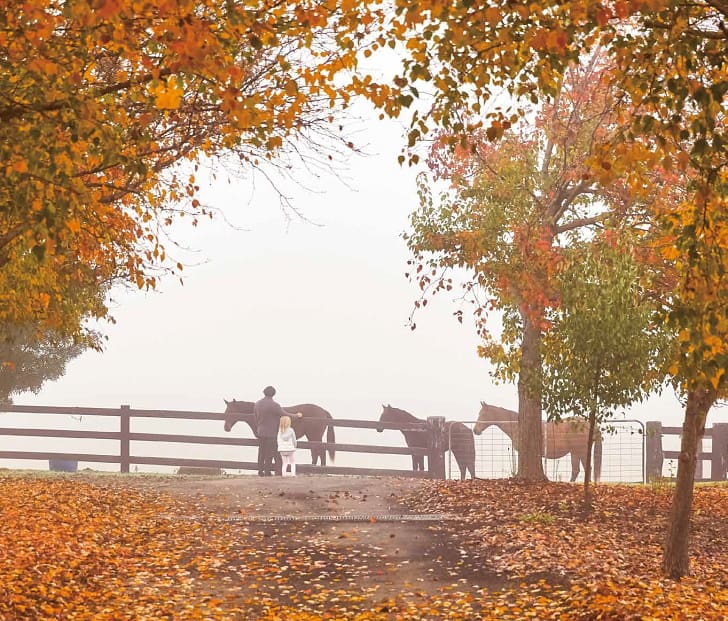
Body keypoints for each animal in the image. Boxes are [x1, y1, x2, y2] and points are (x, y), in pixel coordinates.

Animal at [472, 400, 604, 482]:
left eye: (483, 414)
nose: (475, 430)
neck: (517, 425)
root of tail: (589, 424)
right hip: (574, 452)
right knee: (576, 470)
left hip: (580, 451)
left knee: (587, 468)